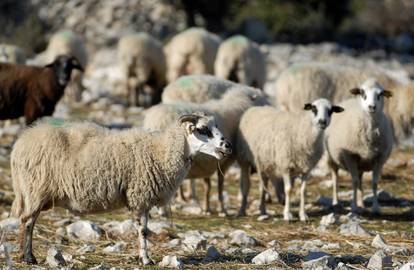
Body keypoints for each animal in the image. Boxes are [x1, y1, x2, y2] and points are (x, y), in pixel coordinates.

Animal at [144, 87, 266, 215]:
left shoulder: (208, 163)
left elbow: (208, 185)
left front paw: (207, 207)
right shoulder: (223, 162)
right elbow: (220, 185)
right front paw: (222, 209)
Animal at [326, 78, 392, 213]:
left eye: (380, 94)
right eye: (362, 93)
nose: (371, 107)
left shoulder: (380, 158)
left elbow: (374, 183)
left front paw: (375, 208)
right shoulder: (350, 156)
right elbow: (354, 182)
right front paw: (353, 206)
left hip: (361, 163)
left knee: (361, 180)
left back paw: (362, 204)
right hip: (332, 158)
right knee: (335, 179)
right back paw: (336, 202)